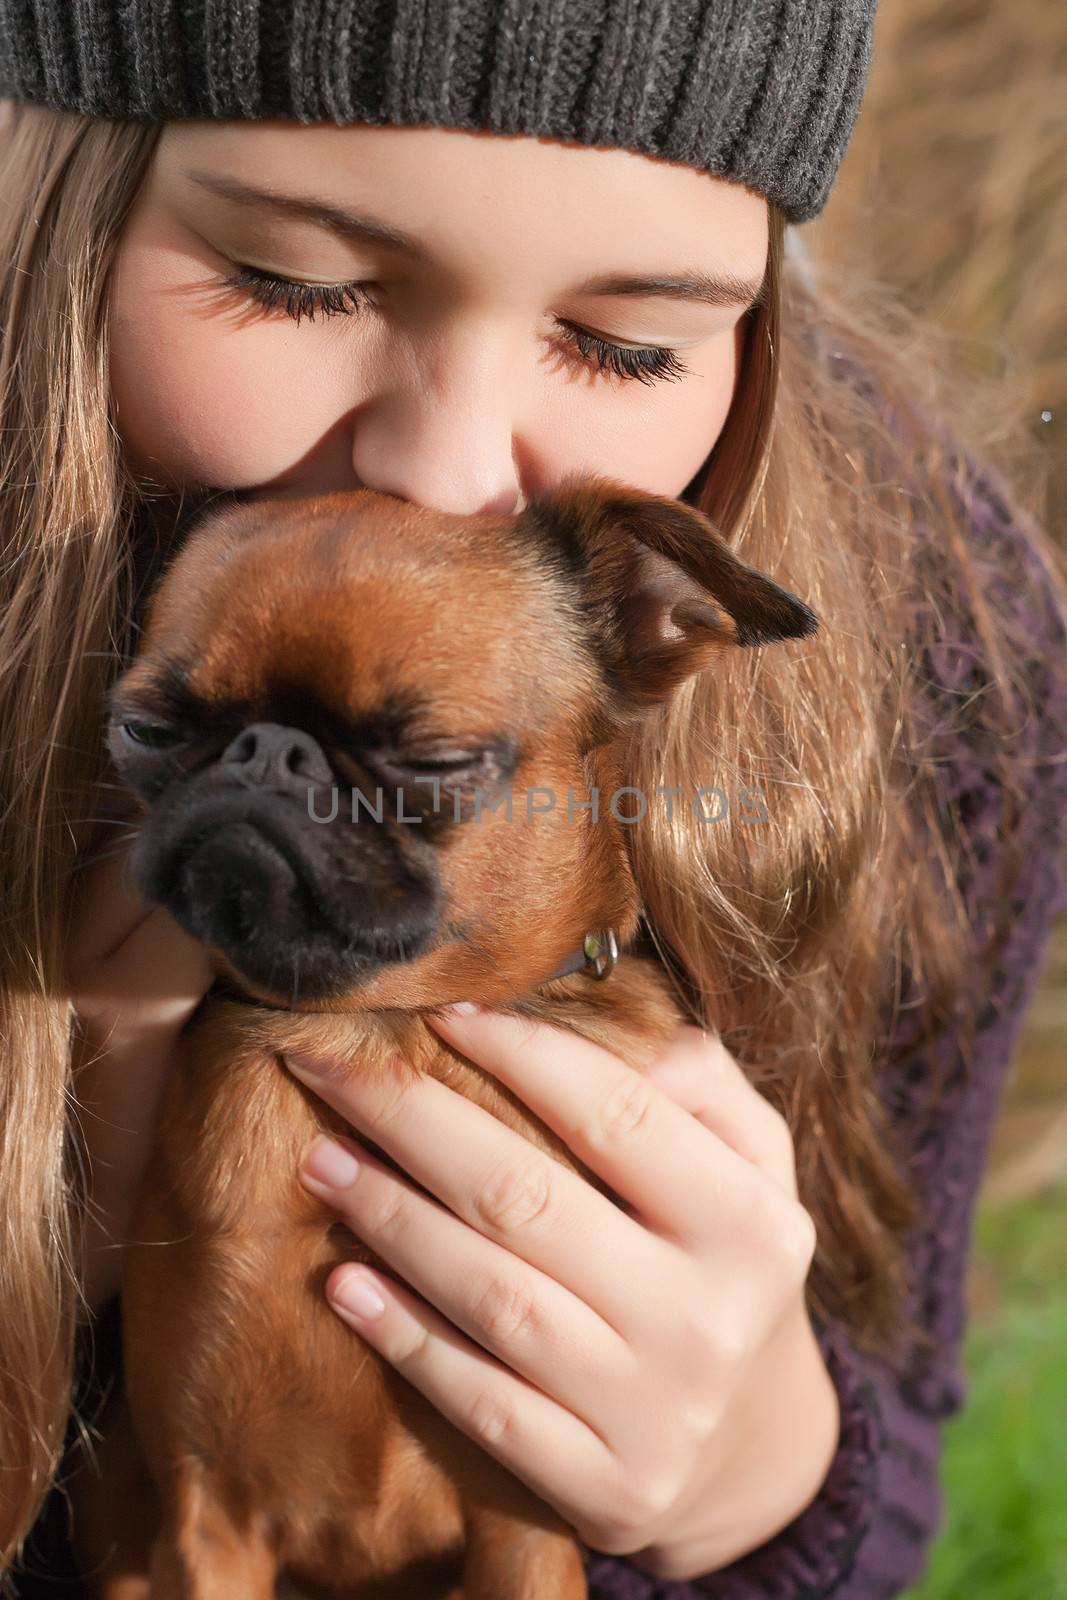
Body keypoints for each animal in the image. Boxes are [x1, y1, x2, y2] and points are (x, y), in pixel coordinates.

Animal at [97, 476, 819, 1600]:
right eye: (143, 728)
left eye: (433, 760)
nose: (265, 753)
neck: (376, 1031)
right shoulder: (207, 1517)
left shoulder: (522, 1527)